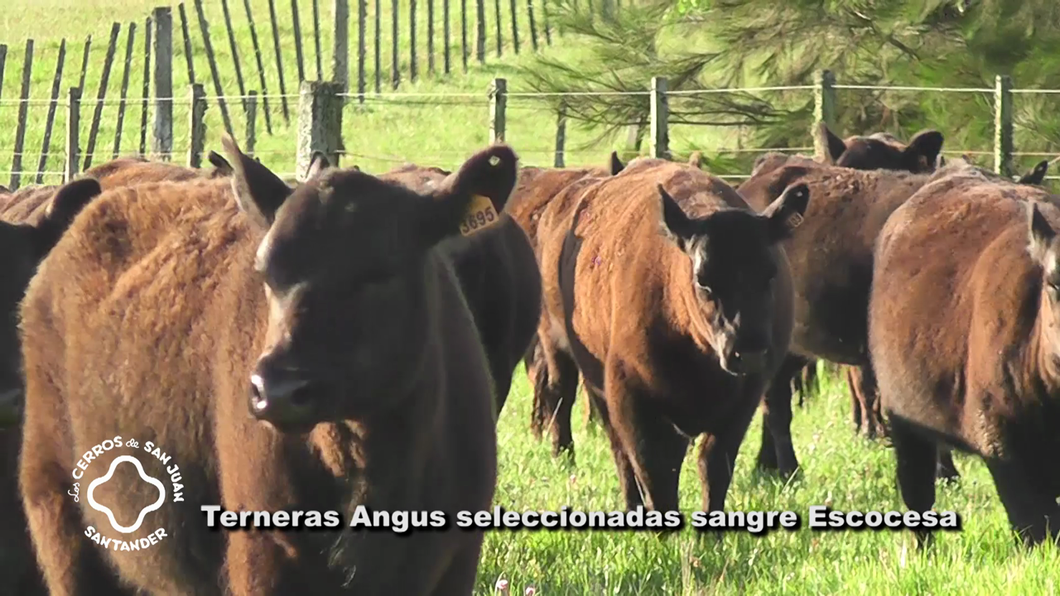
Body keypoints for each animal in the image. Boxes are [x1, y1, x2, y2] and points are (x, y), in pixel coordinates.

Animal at [18, 137, 506, 589]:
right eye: (266, 272)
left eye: (381, 272)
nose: (278, 391)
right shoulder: (262, 554)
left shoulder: (458, 560)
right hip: (58, 513)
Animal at [538, 159, 809, 511]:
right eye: (703, 279)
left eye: (770, 272)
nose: (747, 351)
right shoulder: (631, 397)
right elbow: (654, 472)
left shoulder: (742, 402)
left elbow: (713, 467)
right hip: (566, 352)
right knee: (581, 414)